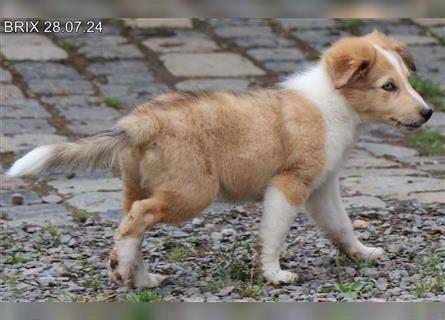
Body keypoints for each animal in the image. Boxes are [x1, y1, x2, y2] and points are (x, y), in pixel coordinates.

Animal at [6, 31, 432, 288]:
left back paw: (137, 276)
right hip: (193, 191)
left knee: (130, 223)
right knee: (139, 217)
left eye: (406, 81)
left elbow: (341, 226)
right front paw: (274, 274)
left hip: (137, 184)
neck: (334, 102)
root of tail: (141, 122)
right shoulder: (289, 184)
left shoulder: (321, 186)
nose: (428, 113)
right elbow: (273, 233)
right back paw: (122, 268)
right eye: (387, 87)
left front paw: (363, 254)